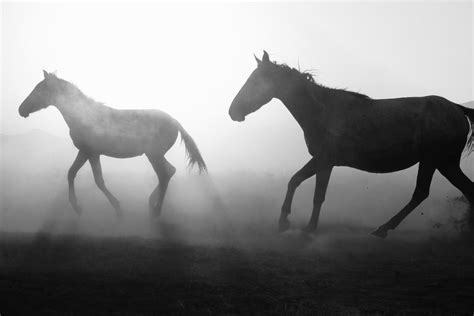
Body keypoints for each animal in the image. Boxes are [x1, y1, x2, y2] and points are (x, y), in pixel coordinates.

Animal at [19, 71, 206, 220]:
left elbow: (98, 181)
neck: (82, 115)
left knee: (164, 174)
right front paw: (78, 207)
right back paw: (152, 201)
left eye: (39, 90)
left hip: (154, 155)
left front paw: (116, 208)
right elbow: (72, 173)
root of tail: (175, 122)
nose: (21, 109)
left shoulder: (90, 152)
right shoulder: (86, 152)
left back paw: (156, 211)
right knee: (169, 171)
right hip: (155, 155)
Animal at [230, 51, 474, 237]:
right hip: (445, 163)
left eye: (254, 81)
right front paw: (296, 224)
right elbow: (306, 188)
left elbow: (306, 188)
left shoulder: (324, 160)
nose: (233, 111)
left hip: (433, 161)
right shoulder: (322, 162)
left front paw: (297, 226)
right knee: (462, 188)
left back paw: (383, 229)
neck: (322, 111)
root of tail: (457, 108)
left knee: (421, 193)